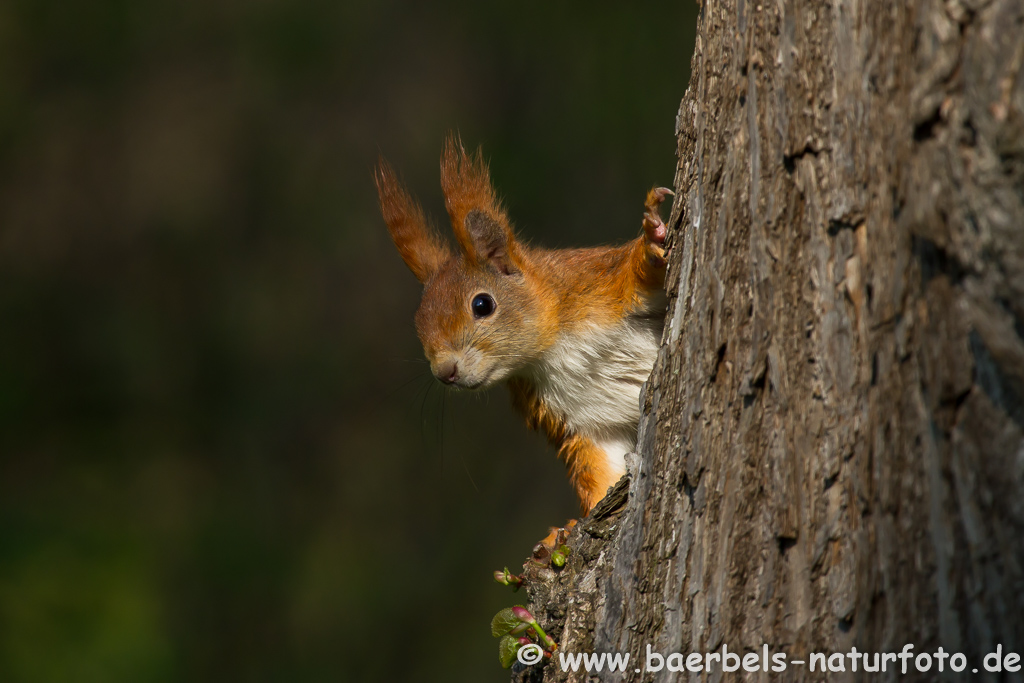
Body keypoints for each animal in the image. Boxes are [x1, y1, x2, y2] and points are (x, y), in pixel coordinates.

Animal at [376, 137, 671, 544]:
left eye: (482, 304)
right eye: (417, 323)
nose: (444, 372)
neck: (550, 351)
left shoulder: (600, 284)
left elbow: (638, 276)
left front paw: (652, 242)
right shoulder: (583, 422)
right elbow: (599, 469)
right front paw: (565, 532)